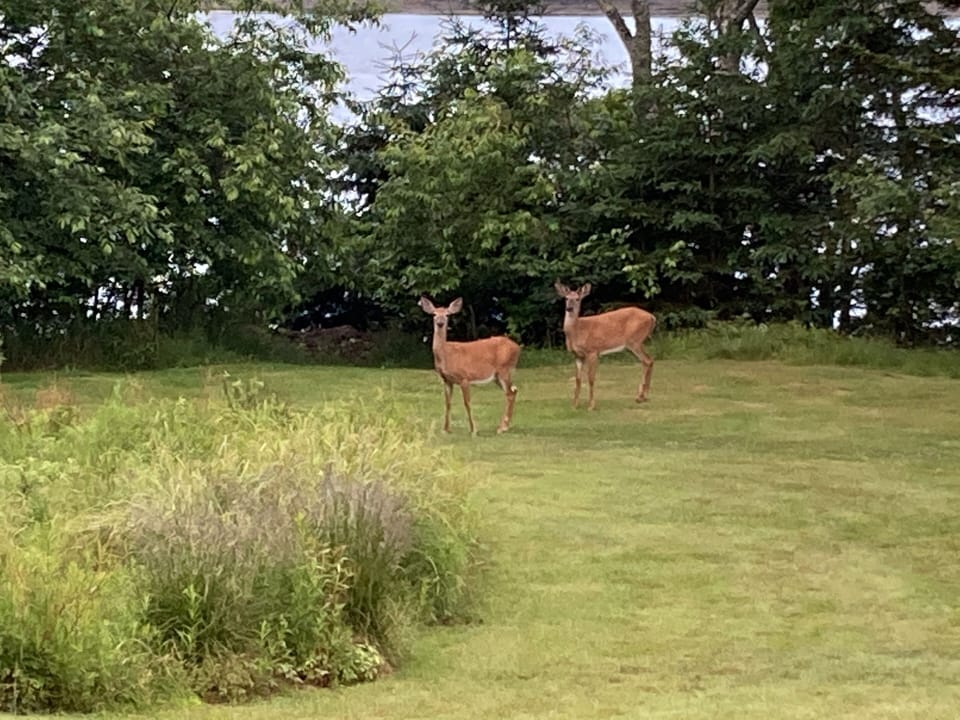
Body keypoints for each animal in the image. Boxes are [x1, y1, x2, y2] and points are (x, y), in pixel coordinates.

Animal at [418, 296, 521, 435]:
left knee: (510, 393)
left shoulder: (464, 377)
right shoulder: (446, 380)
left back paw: (501, 428)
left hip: (505, 369)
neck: (447, 355)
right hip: (497, 376)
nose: (440, 322)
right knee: (513, 391)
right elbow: (447, 403)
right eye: (434, 314)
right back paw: (504, 426)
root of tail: (517, 347)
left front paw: (473, 430)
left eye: (447, 314)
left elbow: (467, 402)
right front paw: (445, 429)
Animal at [554, 282, 656, 410]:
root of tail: (652, 317)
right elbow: (578, 379)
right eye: (566, 298)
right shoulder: (577, 355)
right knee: (648, 360)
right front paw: (574, 405)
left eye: (577, 299)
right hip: (634, 344)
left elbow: (591, 378)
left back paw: (641, 396)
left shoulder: (593, 351)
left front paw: (591, 406)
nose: (569, 308)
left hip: (635, 341)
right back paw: (643, 397)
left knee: (647, 360)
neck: (578, 331)